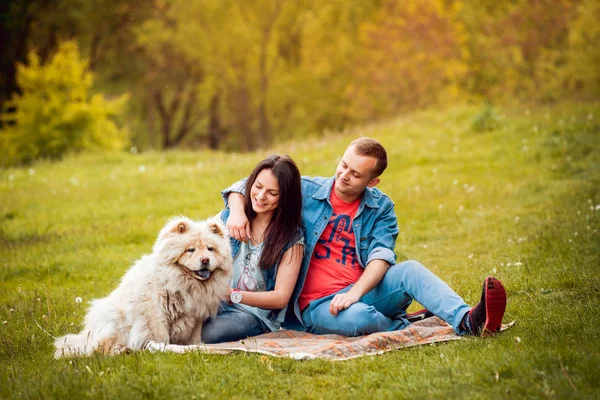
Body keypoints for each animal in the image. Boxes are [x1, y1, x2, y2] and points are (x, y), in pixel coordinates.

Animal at [54, 217, 232, 358]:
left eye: (210, 249)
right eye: (190, 250)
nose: (205, 260)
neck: (184, 283)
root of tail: (85, 335)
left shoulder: (196, 316)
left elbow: (194, 338)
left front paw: (197, 347)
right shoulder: (156, 313)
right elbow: (161, 336)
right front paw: (164, 349)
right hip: (115, 323)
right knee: (99, 350)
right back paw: (122, 351)